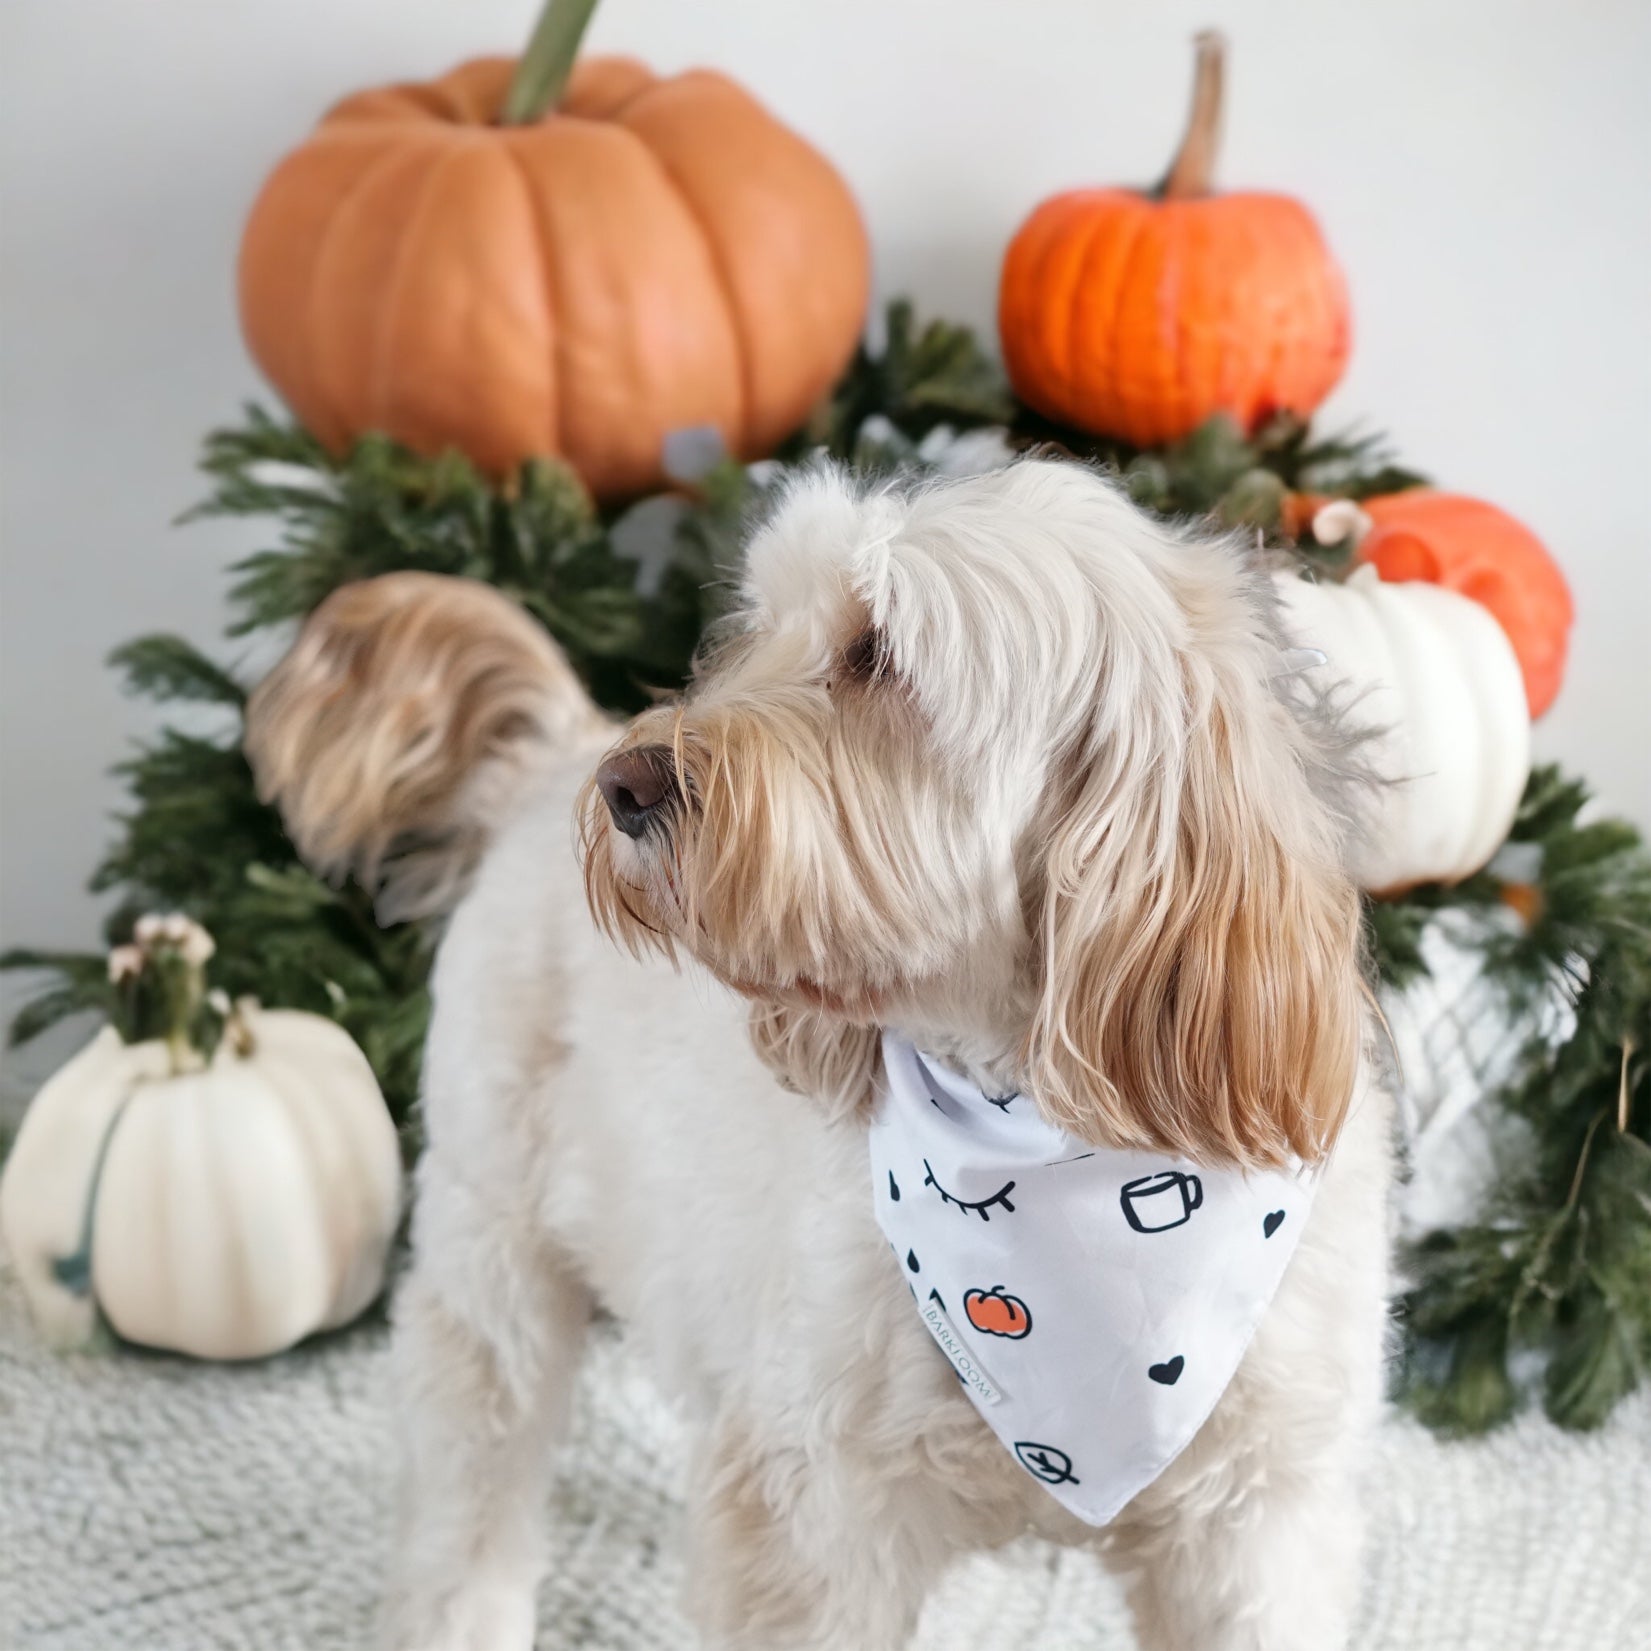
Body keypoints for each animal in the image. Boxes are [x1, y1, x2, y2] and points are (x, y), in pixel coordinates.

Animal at [247, 462, 1393, 1651]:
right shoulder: (820, 1517)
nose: (626, 783)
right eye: (759, 629)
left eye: (874, 652)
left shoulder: (1256, 1525)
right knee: (470, 1487)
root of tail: (553, 754)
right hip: (495, 1256)